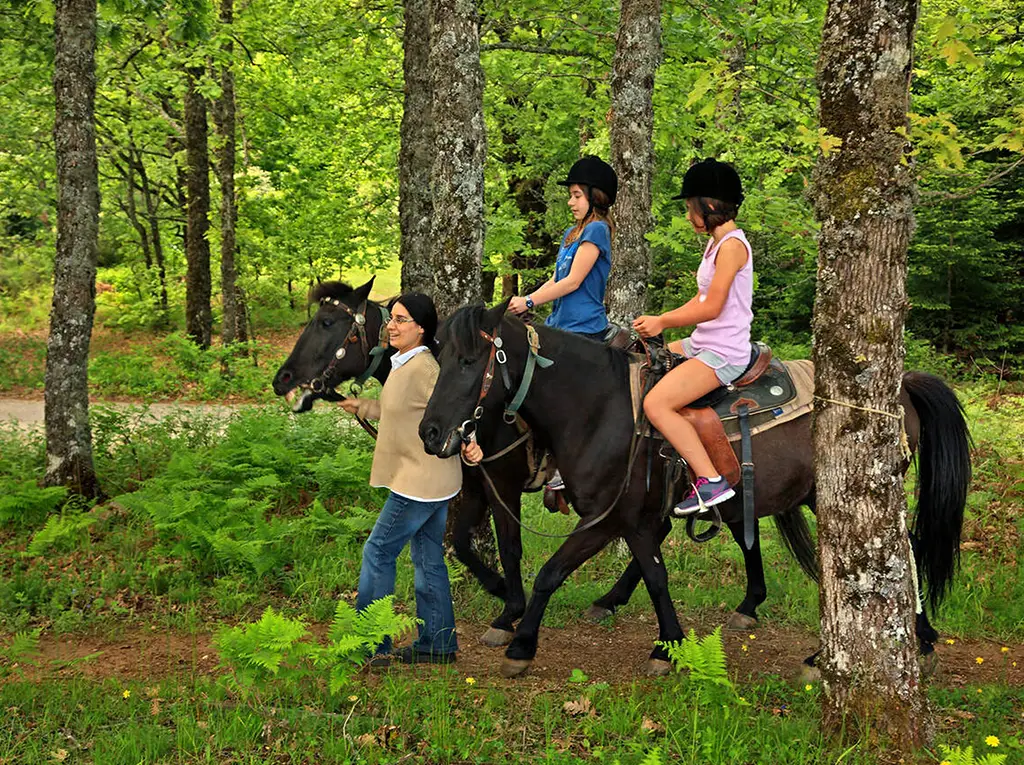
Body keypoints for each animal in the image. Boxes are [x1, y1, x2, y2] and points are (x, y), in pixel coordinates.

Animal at [276, 278, 536, 643]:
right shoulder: (475, 485)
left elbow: (510, 548)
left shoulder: (504, 486)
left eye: (326, 322)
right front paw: (499, 589)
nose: (281, 379)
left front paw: (510, 610)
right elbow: (462, 543)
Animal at [419, 303, 970, 680]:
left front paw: (521, 643)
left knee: (891, 557)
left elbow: (548, 571)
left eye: (470, 361)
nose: (430, 432)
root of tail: (902, 386)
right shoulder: (631, 519)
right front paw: (668, 644)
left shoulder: (599, 516)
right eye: (440, 356)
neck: (598, 409)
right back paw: (913, 638)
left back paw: (847, 651)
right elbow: (655, 576)